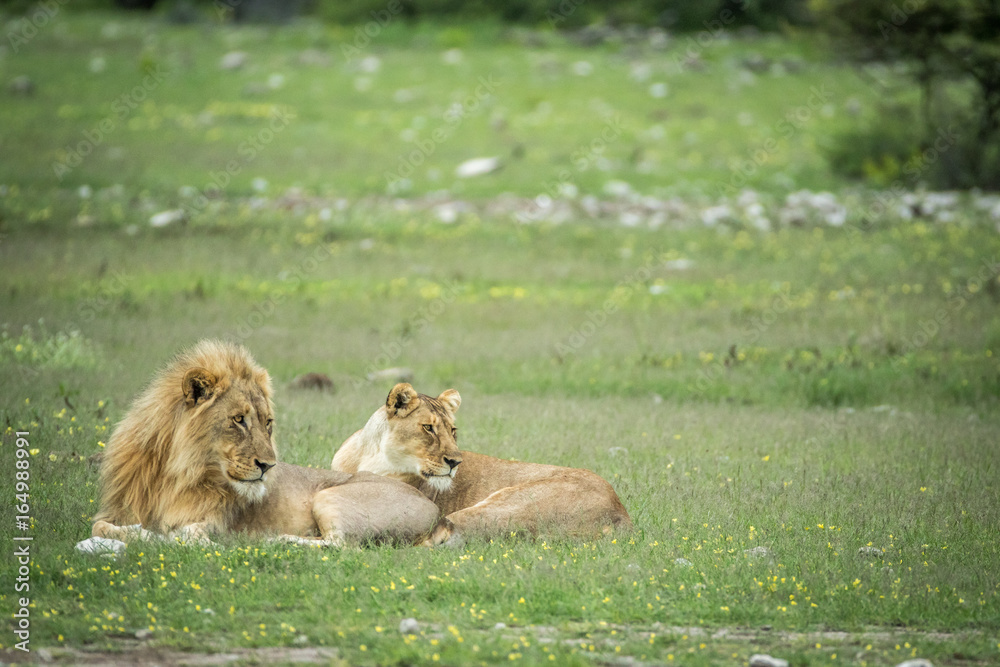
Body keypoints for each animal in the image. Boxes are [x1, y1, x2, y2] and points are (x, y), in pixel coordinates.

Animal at [92, 341, 450, 547]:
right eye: (239, 419)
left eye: (267, 422)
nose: (268, 467)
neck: (176, 473)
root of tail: (435, 508)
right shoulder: (117, 511)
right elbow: (99, 526)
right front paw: (142, 532)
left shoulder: (214, 521)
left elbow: (188, 534)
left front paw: (159, 535)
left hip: (328, 496)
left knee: (339, 545)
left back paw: (282, 540)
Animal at [331, 383, 632, 542]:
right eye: (428, 428)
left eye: (452, 430)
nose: (455, 462)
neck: (371, 456)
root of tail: (621, 512)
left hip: (505, 503)